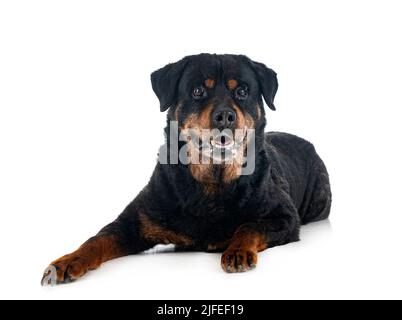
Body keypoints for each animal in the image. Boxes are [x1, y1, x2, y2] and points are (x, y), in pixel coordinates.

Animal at [40, 53, 332, 284]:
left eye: (242, 91)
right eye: (198, 91)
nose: (225, 115)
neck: (212, 182)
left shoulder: (284, 215)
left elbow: (249, 226)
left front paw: (238, 250)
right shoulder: (133, 222)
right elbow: (97, 239)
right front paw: (68, 260)